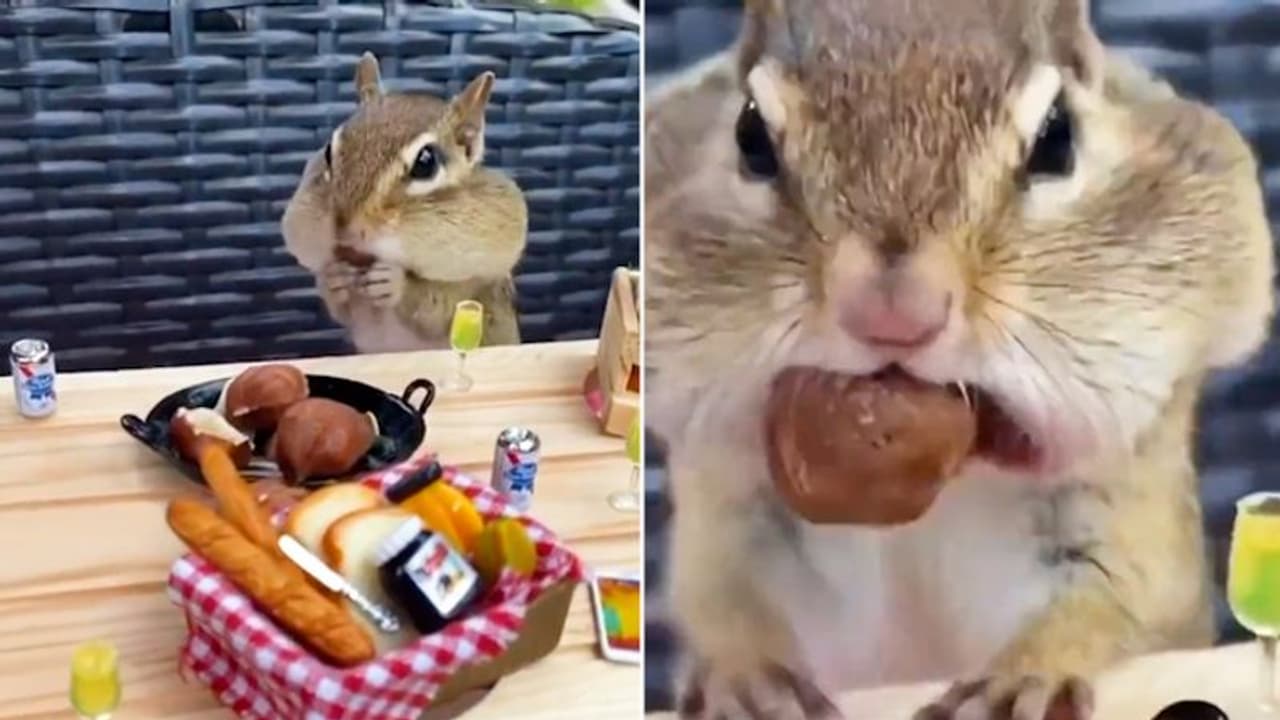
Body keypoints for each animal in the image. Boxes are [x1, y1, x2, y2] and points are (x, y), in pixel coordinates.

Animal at [282, 53, 527, 354]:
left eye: (426, 163)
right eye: (328, 152)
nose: (343, 231)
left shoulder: (474, 285)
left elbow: (437, 303)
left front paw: (395, 283)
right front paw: (334, 277)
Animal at [645, 1, 1275, 718]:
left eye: (1058, 139)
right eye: (750, 135)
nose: (894, 313)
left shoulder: (1131, 507)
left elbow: (1117, 602)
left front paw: (1027, 677)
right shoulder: (725, 514)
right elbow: (720, 602)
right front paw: (744, 678)